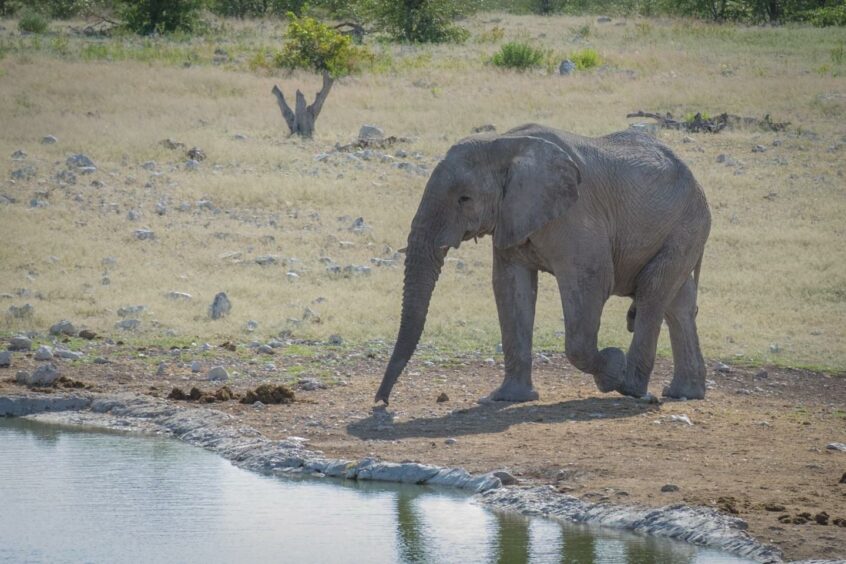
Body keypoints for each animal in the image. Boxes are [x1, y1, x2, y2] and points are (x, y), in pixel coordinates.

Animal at [374, 124, 712, 406]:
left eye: (464, 199)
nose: (382, 402)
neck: (506, 143)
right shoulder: (511, 217)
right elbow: (510, 286)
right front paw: (507, 398)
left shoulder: (578, 216)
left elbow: (591, 281)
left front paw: (613, 369)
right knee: (677, 304)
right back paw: (682, 393)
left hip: (686, 226)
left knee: (652, 294)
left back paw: (632, 389)